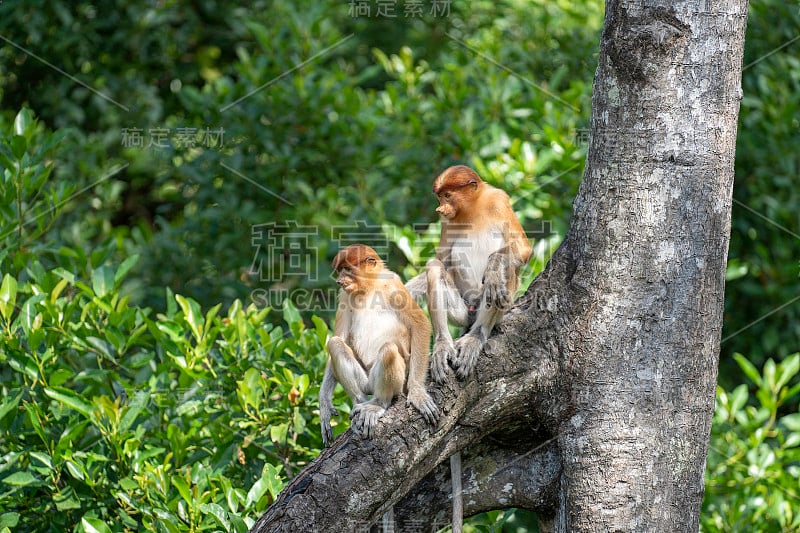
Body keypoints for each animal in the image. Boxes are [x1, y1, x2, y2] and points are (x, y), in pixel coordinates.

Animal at [318, 242, 440, 444]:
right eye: (340, 270)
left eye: (347, 269)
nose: (340, 281)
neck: (370, 287)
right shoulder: (343, 296)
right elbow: (339, 337)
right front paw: (325, 406)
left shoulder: (393, 285)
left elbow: (420, 324)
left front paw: (417, 393)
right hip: (366, 381)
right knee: (335, 344)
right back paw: (360, 403)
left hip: (397, 379)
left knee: (389, 350)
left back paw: (378, 404)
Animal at [406, 164, 532, 380]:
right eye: (439, 197)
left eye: (447, 195)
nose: (439, 209)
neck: (473, 208)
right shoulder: (446, 222)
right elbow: (442, 261)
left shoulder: (499, 200)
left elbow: (523, 249)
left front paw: (492, 269)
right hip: (462, 313)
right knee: (435, 267)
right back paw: (443, 346)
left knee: (506, 270)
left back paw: (476, 336)